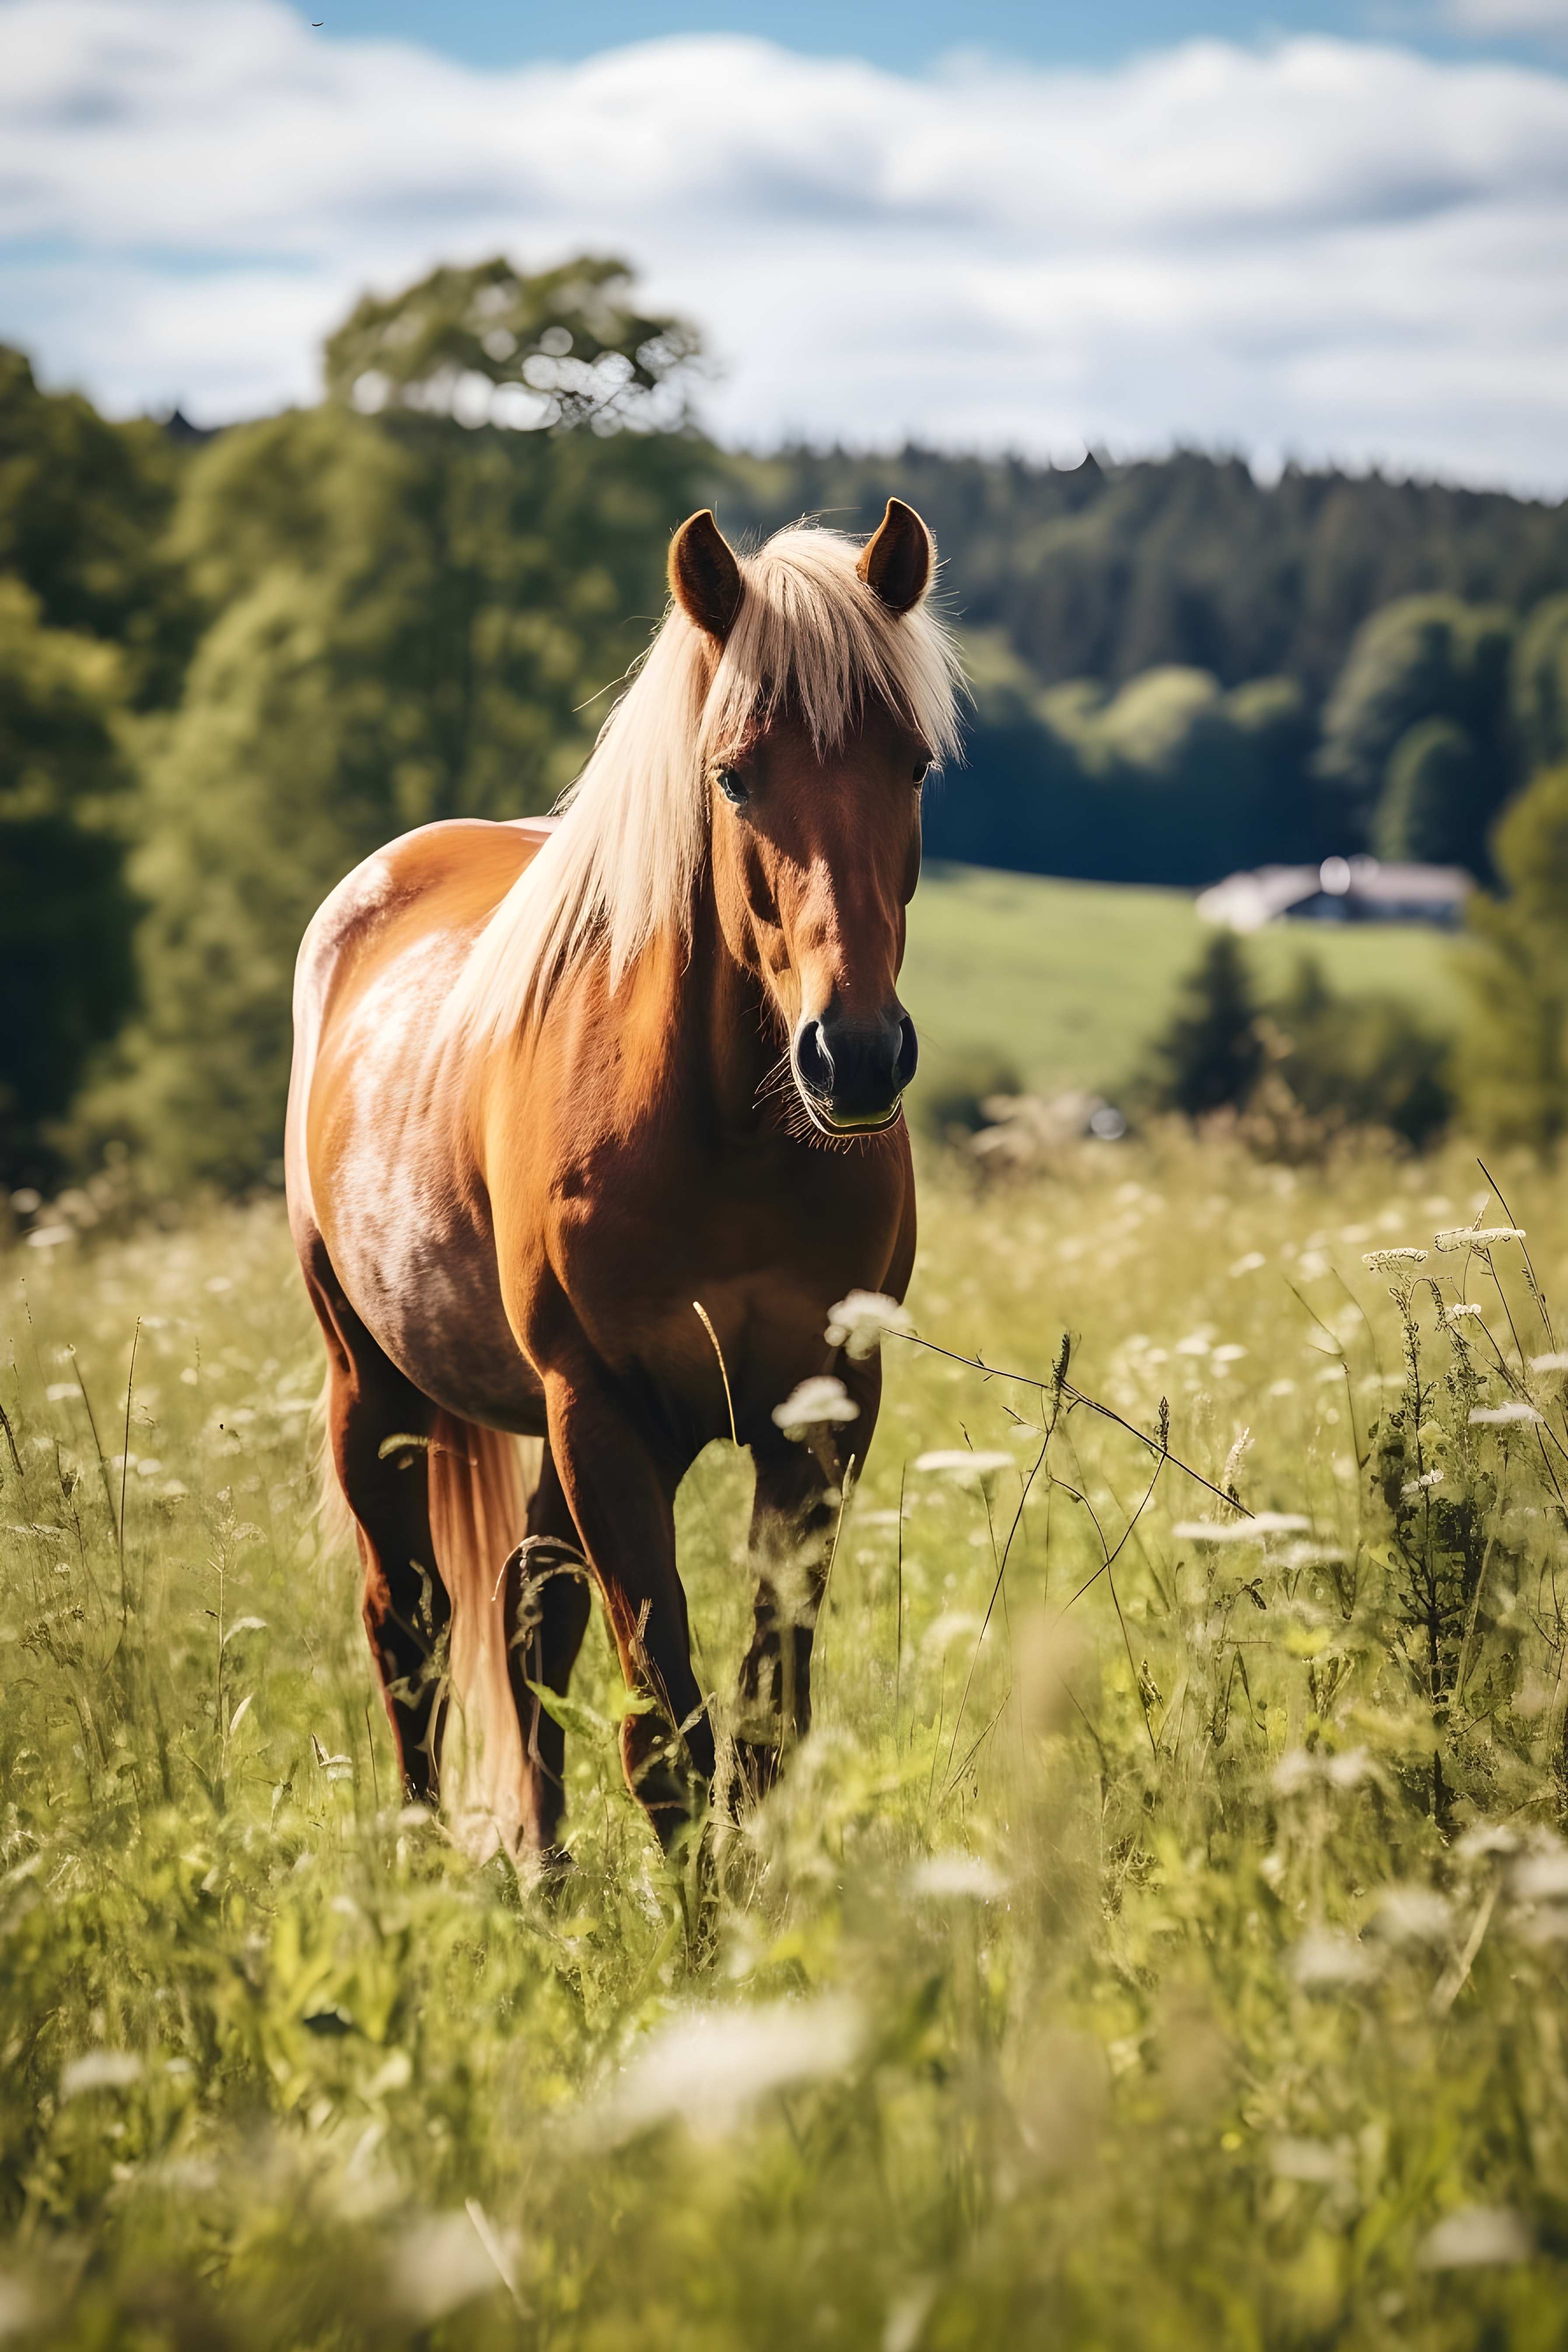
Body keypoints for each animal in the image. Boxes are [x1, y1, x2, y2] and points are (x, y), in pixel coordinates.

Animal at [285, 498, 964, 1860]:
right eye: (735, 774)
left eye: (912, 765)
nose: (856, 1055)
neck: (725, 1139)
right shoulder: (604, 1416)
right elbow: (667, 1742)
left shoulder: (825, 1413)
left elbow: (762, 1731)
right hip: (374, 1385)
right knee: (411, 1625)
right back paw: (424, 1867)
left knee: (524, 1614)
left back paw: (544, 1878)